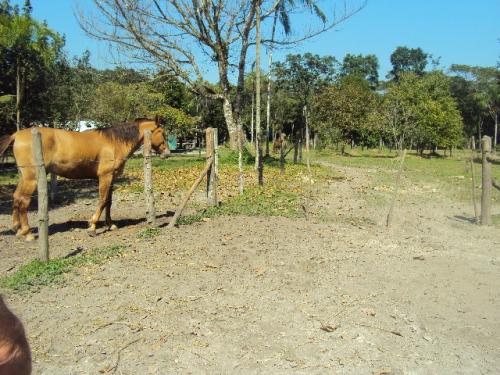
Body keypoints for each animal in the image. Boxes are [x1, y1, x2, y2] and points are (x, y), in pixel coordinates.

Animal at [0, 117, 170, 241]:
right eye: (162, 132)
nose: (167, 153)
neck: (114, 142)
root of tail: (16, 135)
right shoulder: (105, 177)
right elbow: (102, 201)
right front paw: (92, 227)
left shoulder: (112, 178)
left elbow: (108, 202)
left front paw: (110, 224)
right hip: (31, 179)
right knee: (23, 201)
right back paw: (27, 233)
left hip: (24, 177)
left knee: (16, 197)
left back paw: (17, 229)